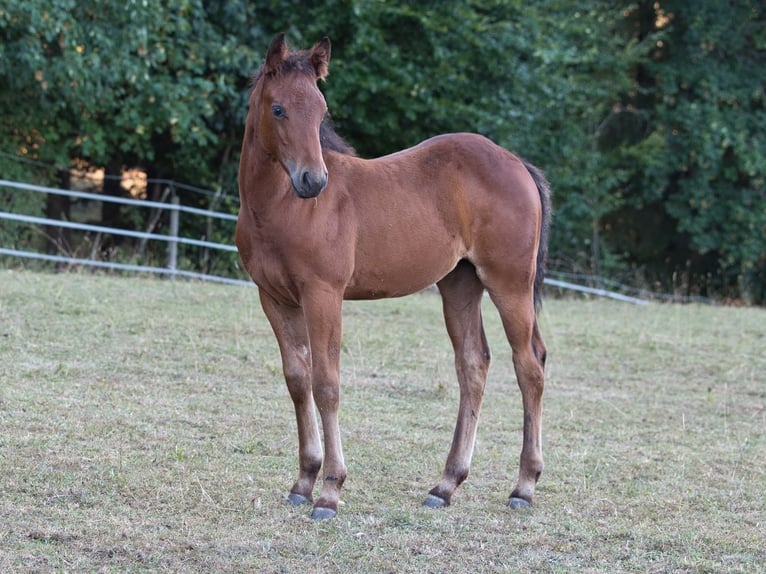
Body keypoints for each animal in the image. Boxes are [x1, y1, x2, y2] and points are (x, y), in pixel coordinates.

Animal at [236, 33, 551, 520]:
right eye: (278, 109)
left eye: (322, 111)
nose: (313, 181)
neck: (281, 207)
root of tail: (518, 163)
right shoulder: (273, 297)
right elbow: (297, 381)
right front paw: (303, 481)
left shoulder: (323, 293)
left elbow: (327, 384)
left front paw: (330, 491)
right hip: (460, 284)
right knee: (473, 365)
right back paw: (445, 484)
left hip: (509, 282)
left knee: (529, 367)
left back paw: (523, 487)